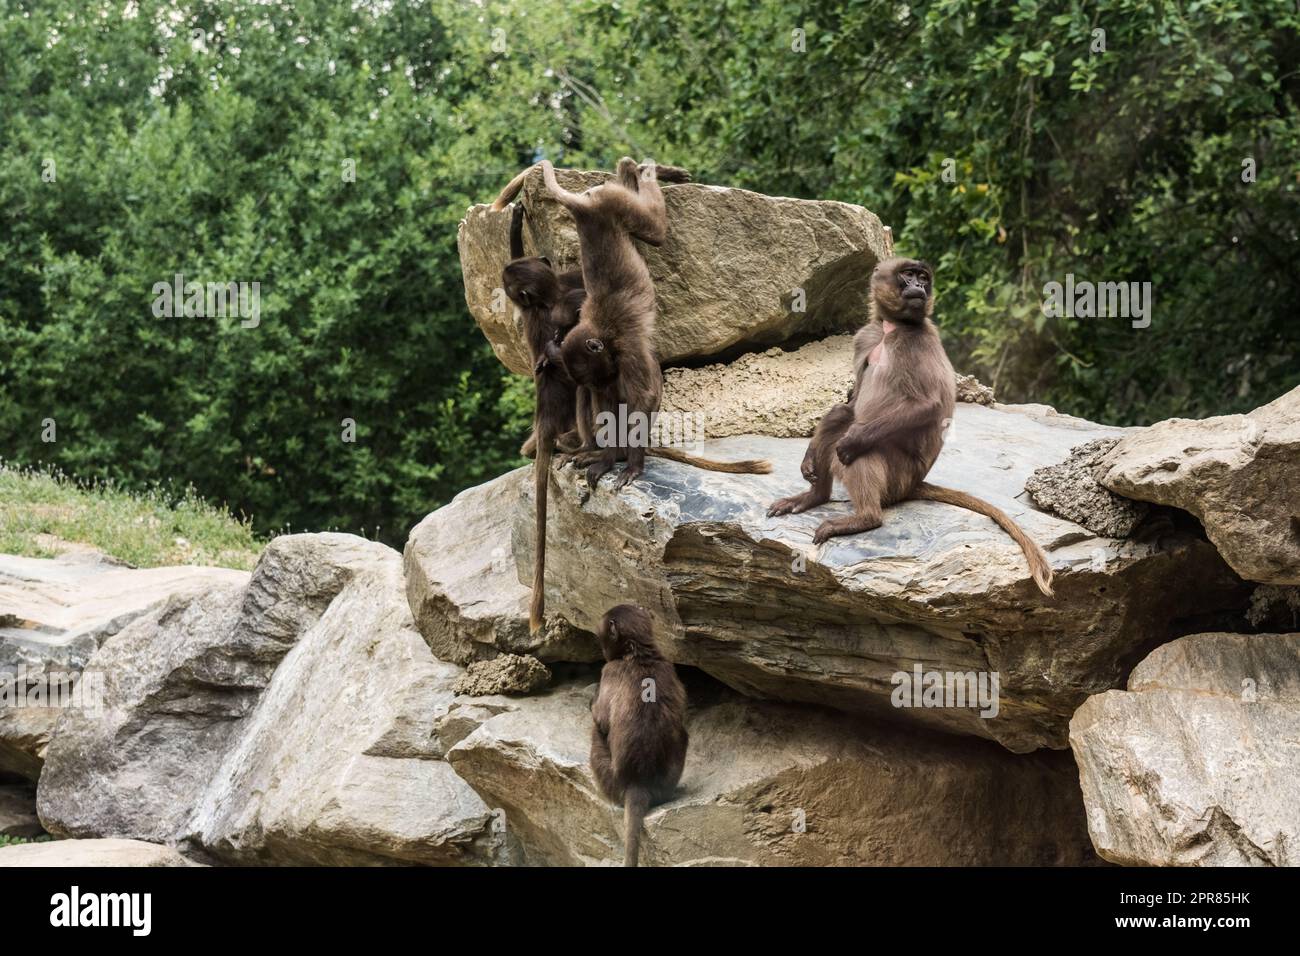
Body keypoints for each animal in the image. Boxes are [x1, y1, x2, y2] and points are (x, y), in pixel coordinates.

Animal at [590, 606, 691, 868]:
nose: (602, 651)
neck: (638, 654)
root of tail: (638, 783)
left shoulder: (609, 671)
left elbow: (600, 719)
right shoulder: (669, 666)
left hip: (609, 777)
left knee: (595, 733)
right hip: (668, 781)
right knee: (683, 735)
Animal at [769, 257, 1055, 595]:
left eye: (923, 278)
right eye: (908, 275)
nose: (919, 287)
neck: (891, 328)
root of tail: (915, 483)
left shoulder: (917, 341)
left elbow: (927, 405)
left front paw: (852, 442)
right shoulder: (865, 337)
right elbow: (850, 405)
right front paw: (810, 459)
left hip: (899, 475)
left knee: (856, 450)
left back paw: (865, 517)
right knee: (841, 419)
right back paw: (816, 497)